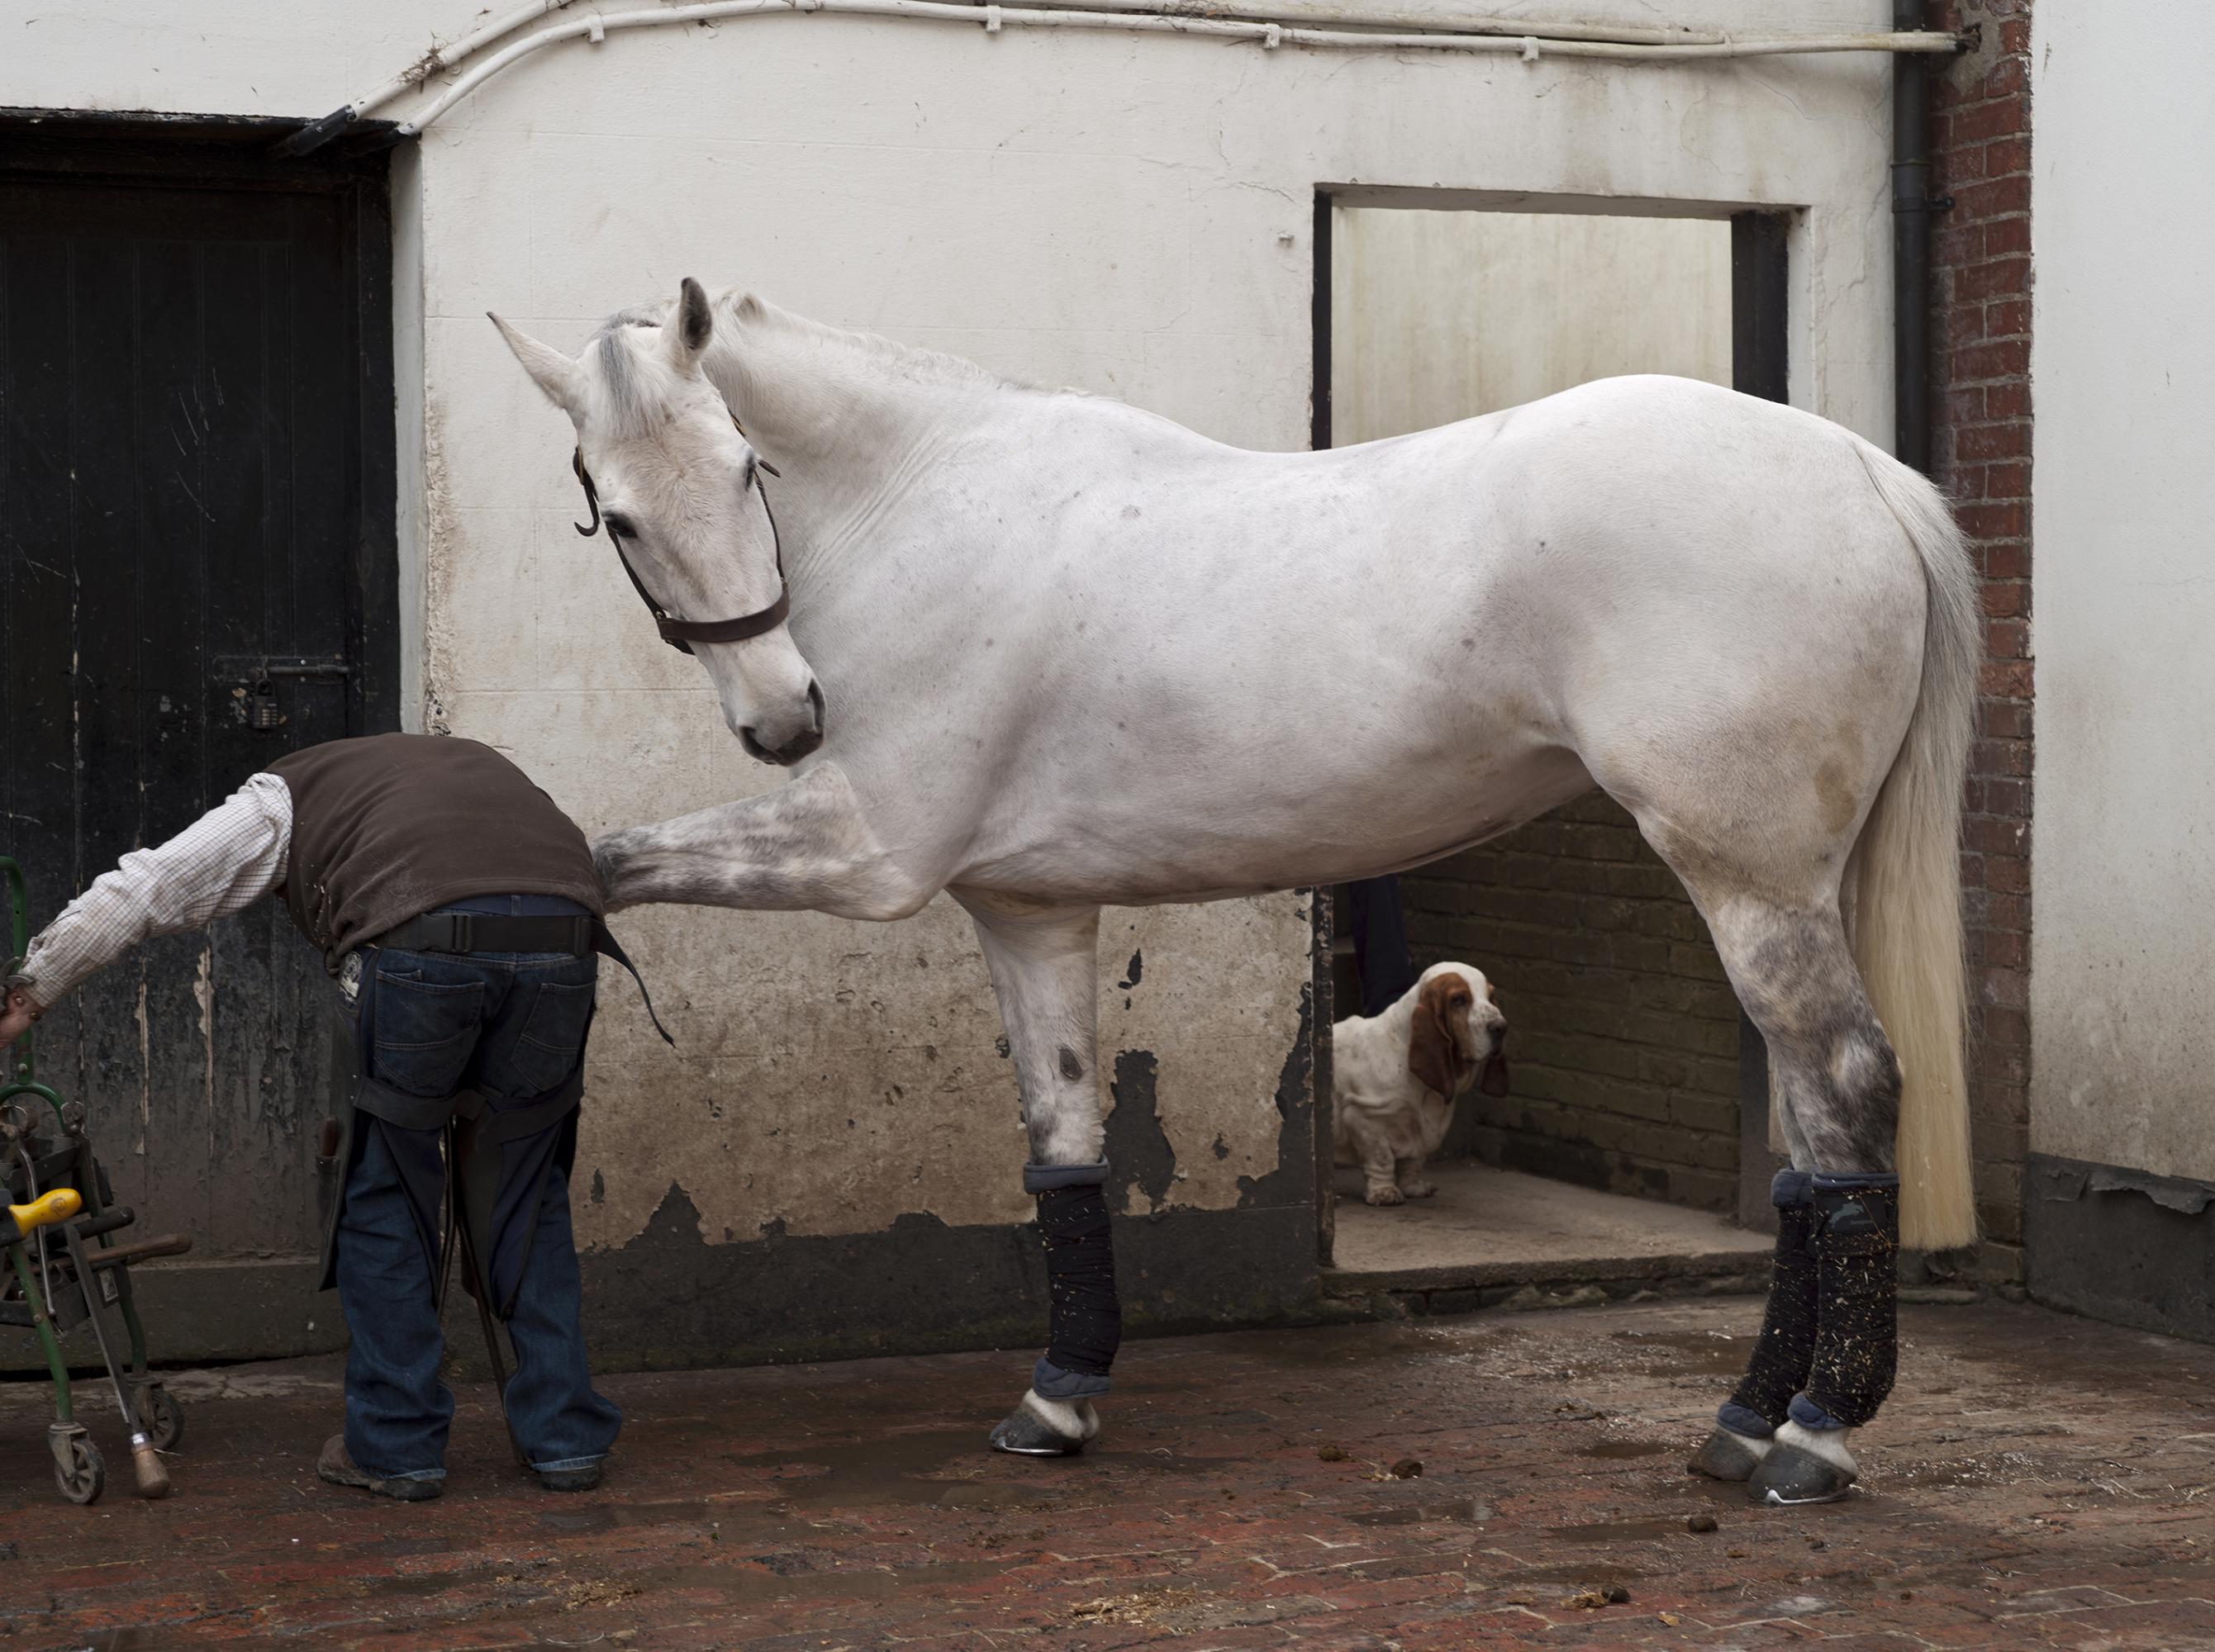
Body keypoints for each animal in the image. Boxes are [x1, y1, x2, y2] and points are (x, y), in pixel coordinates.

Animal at [493, 277, 1984, 1497]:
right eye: (617, 512)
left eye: (748, 466)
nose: (782, 719)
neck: (924, 506)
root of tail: (1859, 469)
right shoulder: (1026, 912)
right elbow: (1064, 1137)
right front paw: (1059, 1399)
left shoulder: (868, 854)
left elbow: (608, 857)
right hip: (1784, 889)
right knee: (1808, 1140)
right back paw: (1745, 1420)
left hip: (1749, 880)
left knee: (1849, 1091)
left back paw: (1810, 1438)